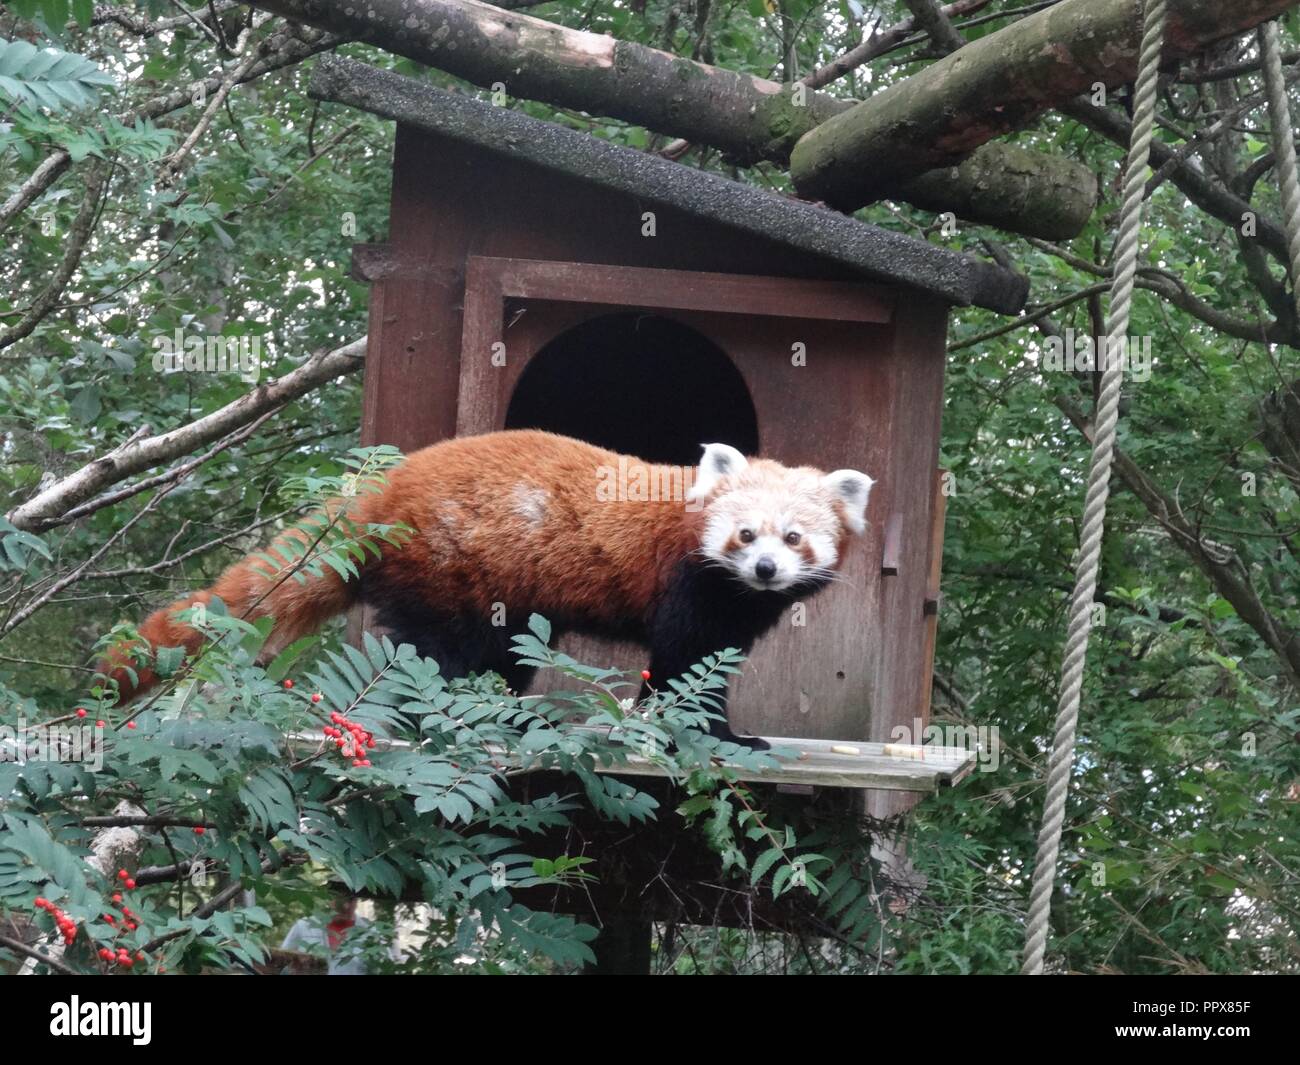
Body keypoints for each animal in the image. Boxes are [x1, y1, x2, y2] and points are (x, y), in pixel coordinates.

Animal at [101, 431, 873, 749]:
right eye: (745, 534)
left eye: (793, 539)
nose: (765, 570)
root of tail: (384, 490)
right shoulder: (687, 585)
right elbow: (682, 665)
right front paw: (715, 734)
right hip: (451, 570)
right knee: (438, 655)